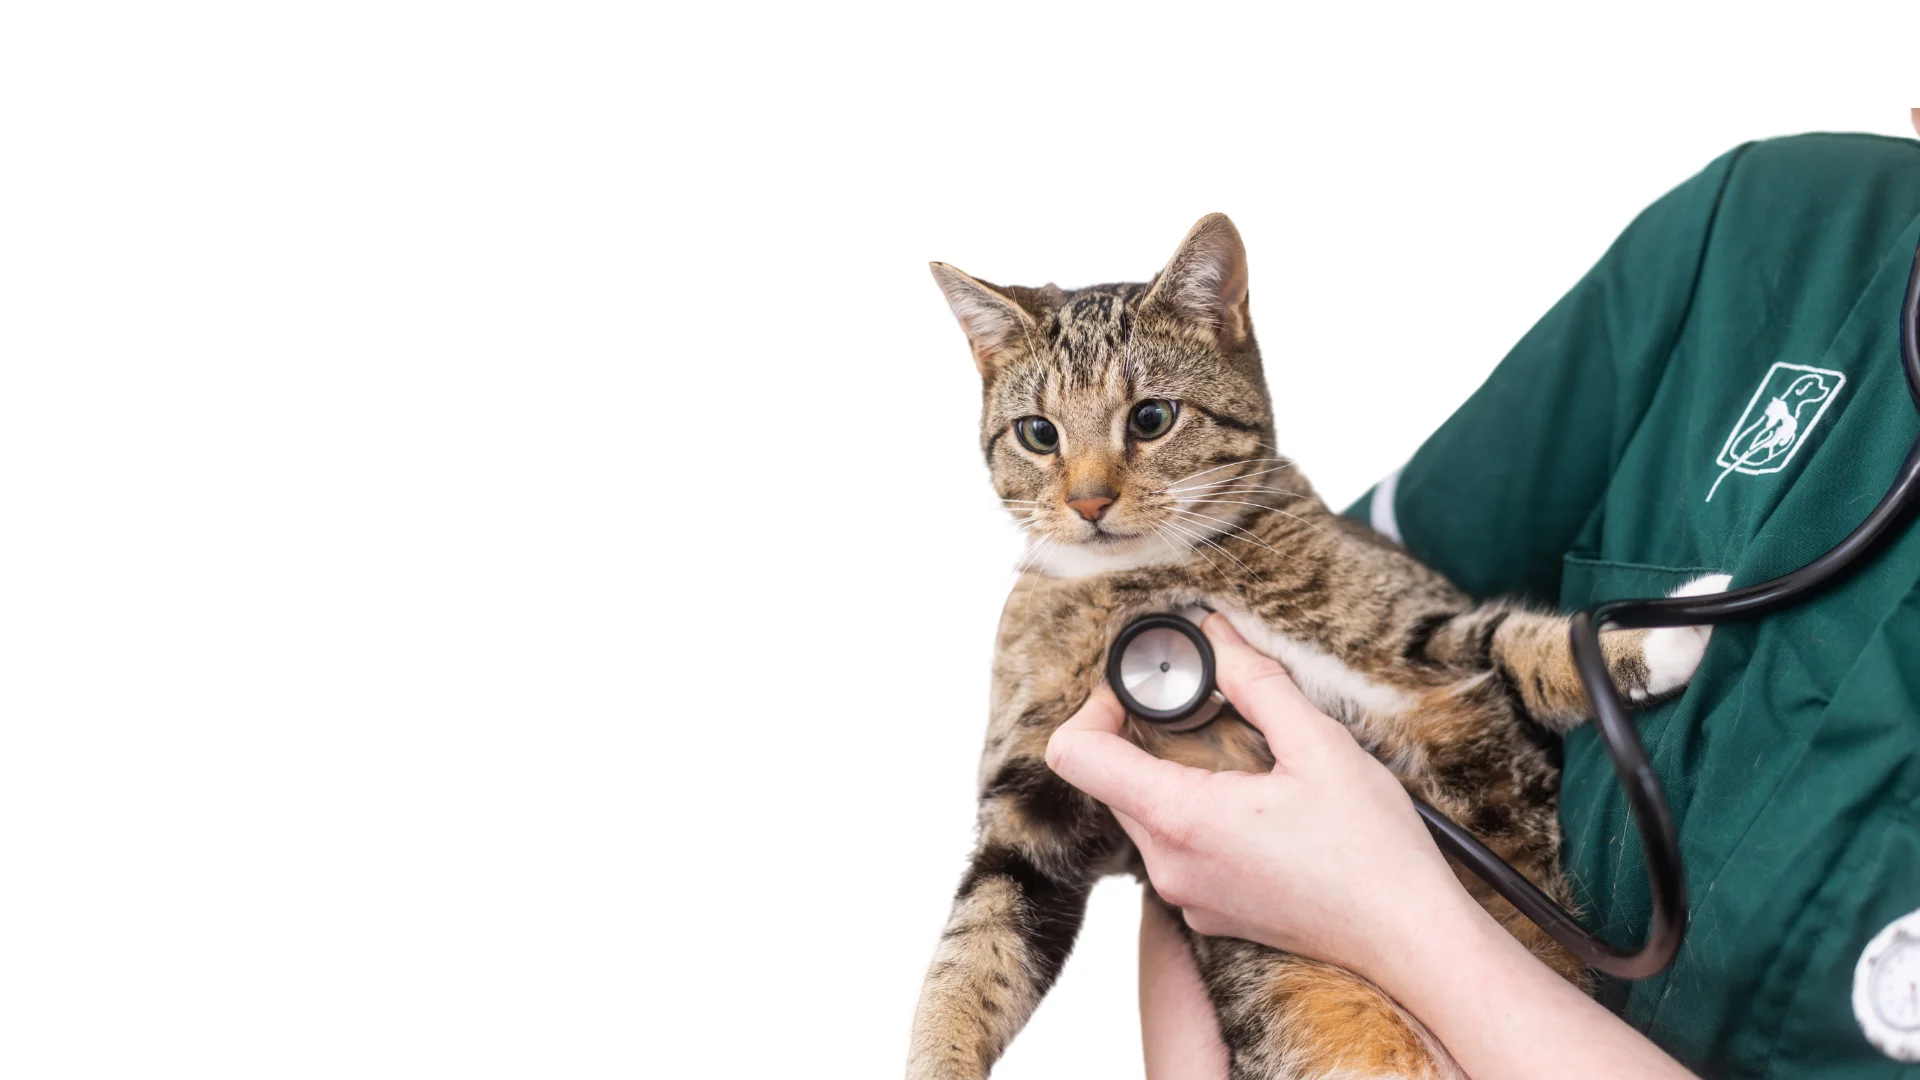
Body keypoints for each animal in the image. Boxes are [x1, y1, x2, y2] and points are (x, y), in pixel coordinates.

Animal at [906, 212, 1720, 1076]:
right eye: (1038, 433)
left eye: (1151, 418)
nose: (1088, 502)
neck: (1153, 582)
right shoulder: (1030, 808)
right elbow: (971, 956)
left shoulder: (1424, 635)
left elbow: (1518, 636)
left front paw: (1662, 635)